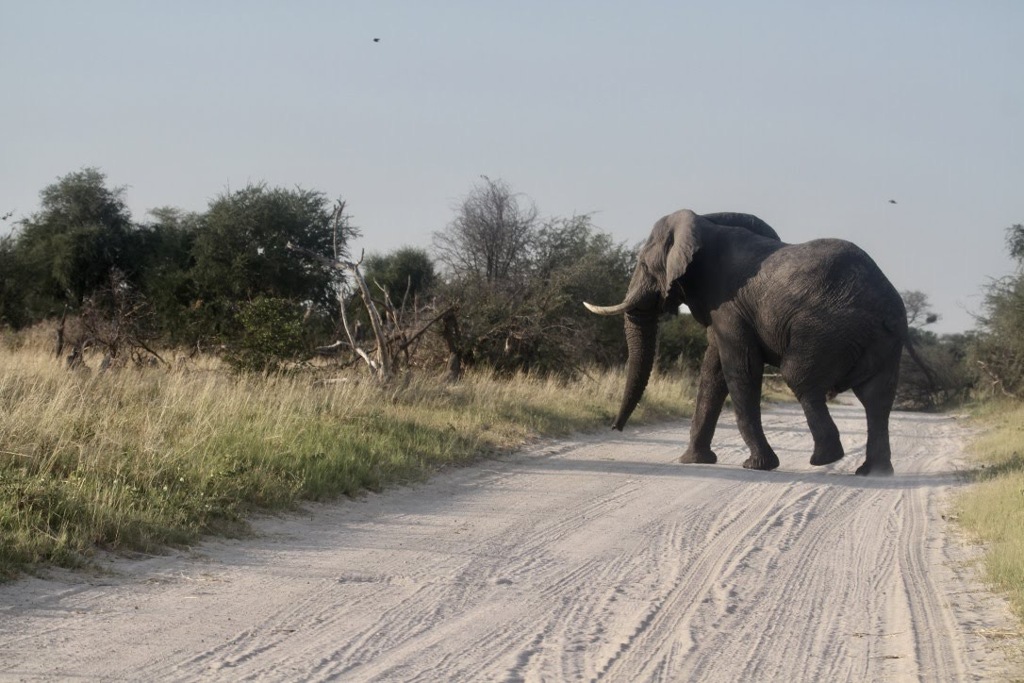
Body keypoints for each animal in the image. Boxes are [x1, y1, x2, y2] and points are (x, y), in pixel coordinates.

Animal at [589, 208, 917, 475]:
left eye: (644, 266)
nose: (615, 428)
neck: (704, 224)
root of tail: (891, 307)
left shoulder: (729, 305)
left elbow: (740, 369)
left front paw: (757, 465)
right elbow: (713, 372)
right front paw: (693, 460)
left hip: (829, 329)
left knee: (799, 377)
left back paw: (825, 459)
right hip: (880, 343)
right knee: (877, 397)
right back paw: (874, 472)